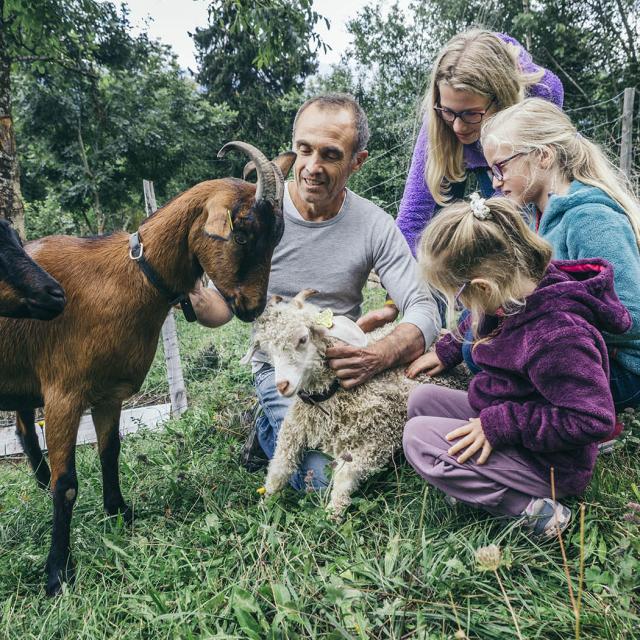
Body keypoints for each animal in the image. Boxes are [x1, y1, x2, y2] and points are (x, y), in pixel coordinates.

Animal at [0, 142, 296, 596]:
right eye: (243, 231)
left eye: (277, 236)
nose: (251, 307)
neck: (125, 279)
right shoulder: (64, 393)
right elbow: (67, 486)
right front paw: (57, 575)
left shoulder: (108, 393)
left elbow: (110, 453)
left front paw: (120, 513)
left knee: (22, 428)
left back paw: (39, 479)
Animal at [242, 288, 418, 516]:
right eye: (268, 351)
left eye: (302, 339)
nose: (282, 385)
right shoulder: (293, 431)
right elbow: (279, 468)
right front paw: (265, 505)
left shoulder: (377, 441)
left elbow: (344, 477)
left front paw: (331, 514)